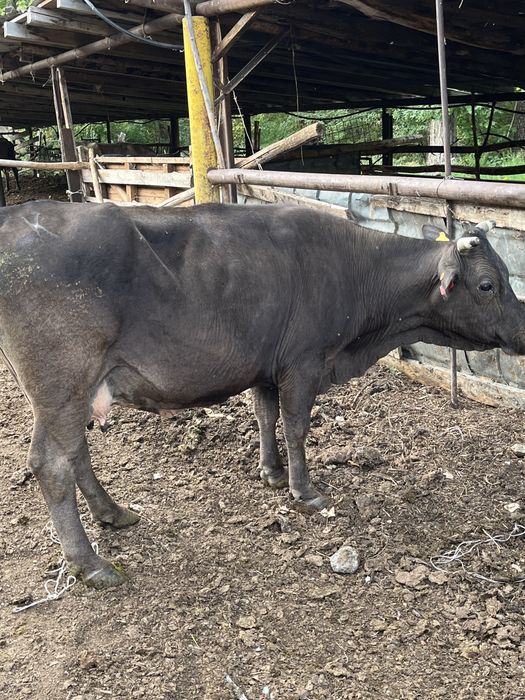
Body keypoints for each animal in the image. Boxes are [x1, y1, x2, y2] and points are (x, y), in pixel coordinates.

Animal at [0, 201, 523, 588]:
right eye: (487, 284)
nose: (522, 333)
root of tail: (18, 215)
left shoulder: (266, 366)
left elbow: (264, 415)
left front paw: (271, 473)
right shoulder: (303, 363)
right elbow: (295, 426)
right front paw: (304, 490)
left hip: (73, 391)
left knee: (76, 453)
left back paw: (113, 513)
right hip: (63, 382)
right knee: (52, 462)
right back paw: (90, 564)